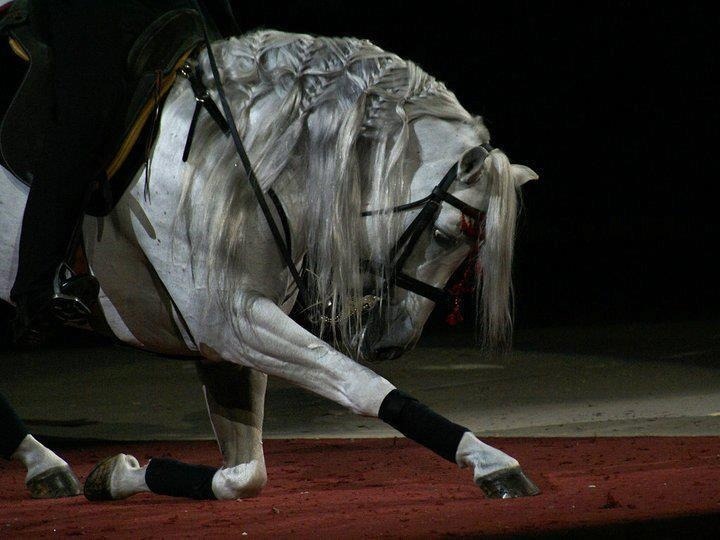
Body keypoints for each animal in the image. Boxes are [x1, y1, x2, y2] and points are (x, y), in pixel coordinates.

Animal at [1, 31, 540, 500]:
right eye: (446, 236)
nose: (395, 343)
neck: (232, 159)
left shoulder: (223, 344)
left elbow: (245, 474)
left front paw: (118, 475)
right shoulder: (230, 322)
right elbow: (359, 384)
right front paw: (491, 462)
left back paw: (47, 467)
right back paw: (44, 463)